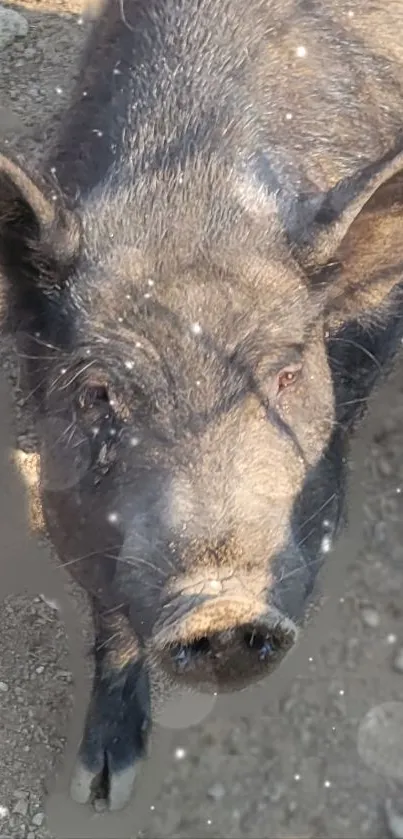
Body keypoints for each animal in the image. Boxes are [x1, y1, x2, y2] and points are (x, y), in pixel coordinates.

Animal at [1, 0, 403, 812]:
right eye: (98, 392)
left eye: (286, 374)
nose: (221, 605)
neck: (189, 199)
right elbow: (110, 608)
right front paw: (102, 789)